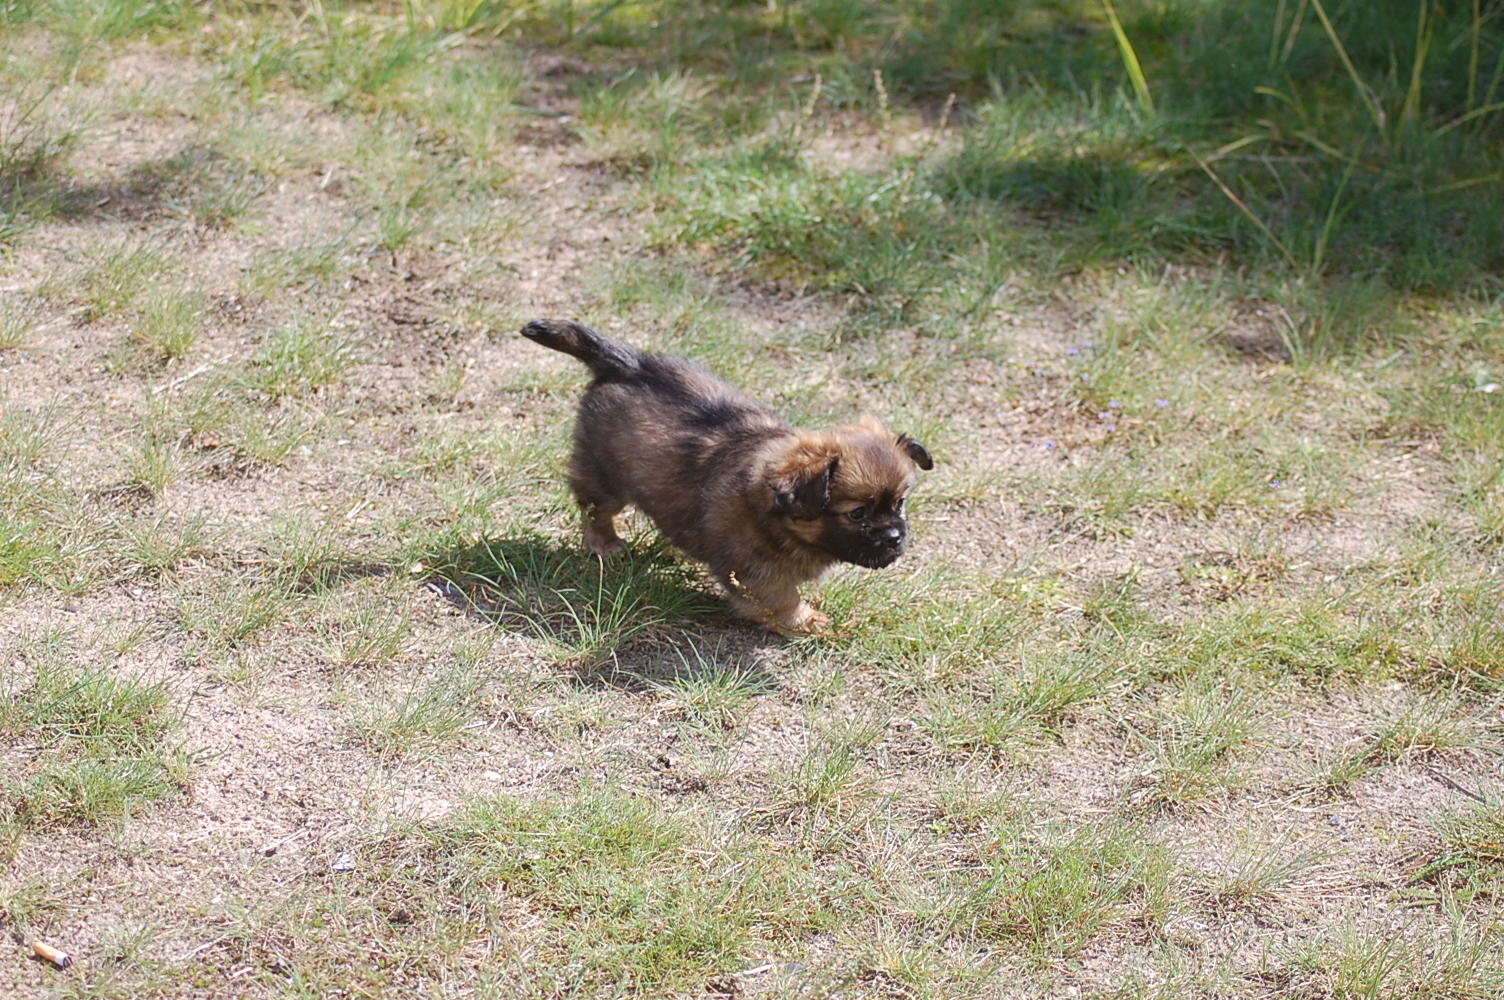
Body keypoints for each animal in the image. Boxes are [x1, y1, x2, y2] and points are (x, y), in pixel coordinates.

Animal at [521, 319, 933, 633]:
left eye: (900, 503)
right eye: (857, 513)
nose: (895, 537)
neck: (775, 511)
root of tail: (628, 364)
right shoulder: (755, 570)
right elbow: (783, 599)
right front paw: (805, 621)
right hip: (604, 475)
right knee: (596, 509)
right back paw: (606, 545)